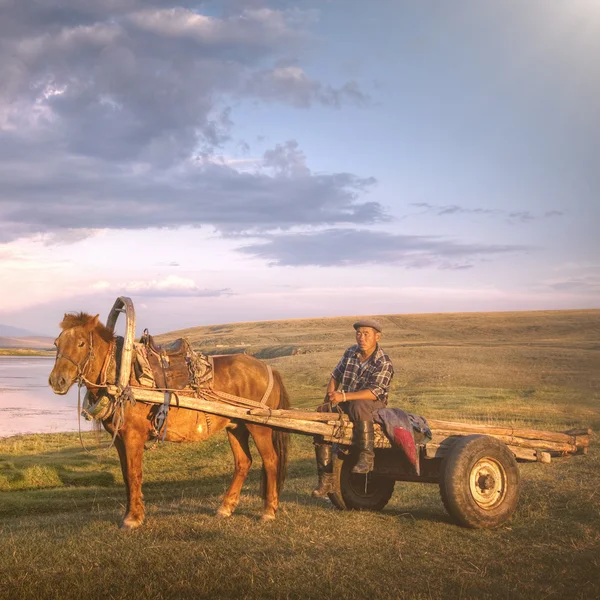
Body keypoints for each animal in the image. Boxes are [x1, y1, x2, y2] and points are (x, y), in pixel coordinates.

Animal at [48, 312, 288, 528]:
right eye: (56, 343)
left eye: (81, 343)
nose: (57, 381)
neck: (121, 377)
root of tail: (268, 368)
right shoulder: (119, 439)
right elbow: (126, 475)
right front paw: (130, 513)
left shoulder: (133, 436)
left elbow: (134, 474)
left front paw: (133, 518)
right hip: (236, 426)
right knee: (243, 462)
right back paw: (225, 507)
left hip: (259, 427)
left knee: (270, 461)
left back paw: (268, 511)